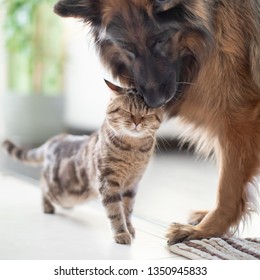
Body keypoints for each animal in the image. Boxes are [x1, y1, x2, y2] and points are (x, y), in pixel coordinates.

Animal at [2, 80, 164, 244]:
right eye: (127, 111)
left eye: (147, 114)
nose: (137, 122)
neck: (133, 150)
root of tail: (54, 139)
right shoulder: (108, 182)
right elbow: (116, 211)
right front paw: (121, 233)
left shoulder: (132, 184)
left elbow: (128, 209)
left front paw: (129, 227)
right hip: (56, 189)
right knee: (42, 185)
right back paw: (47, 206)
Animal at [53, 0, 260, 244]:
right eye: (127, 47)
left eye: (160, 40)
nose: (154, 102)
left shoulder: (239, 118)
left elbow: (227, 187)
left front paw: (204, 231)